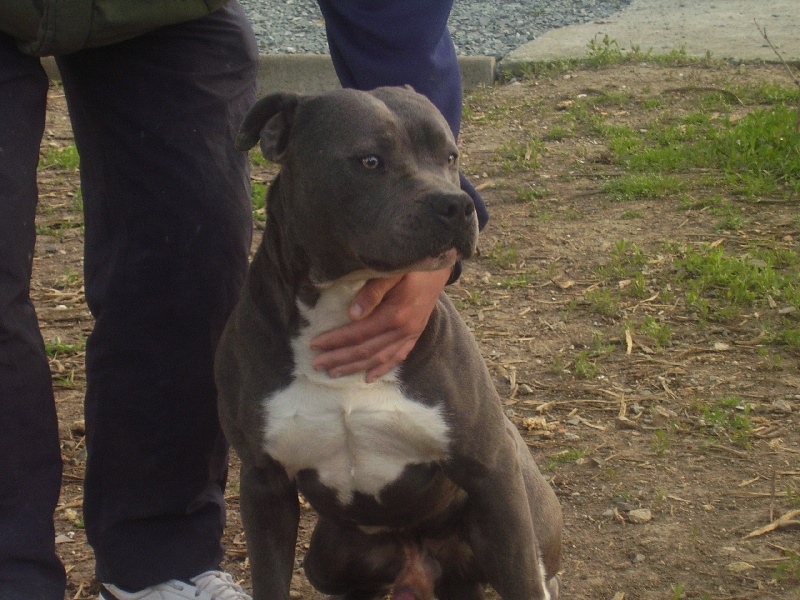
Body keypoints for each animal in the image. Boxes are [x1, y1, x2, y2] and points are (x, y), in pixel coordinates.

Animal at [215, 86, 562, 600]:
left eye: (450, 155)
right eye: (370, 160)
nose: (458, 205)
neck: (343, 301)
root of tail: (424, 564)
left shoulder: (492, 470)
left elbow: (521, 577)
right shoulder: (264, 483)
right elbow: (269, 579)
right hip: (328, 557)